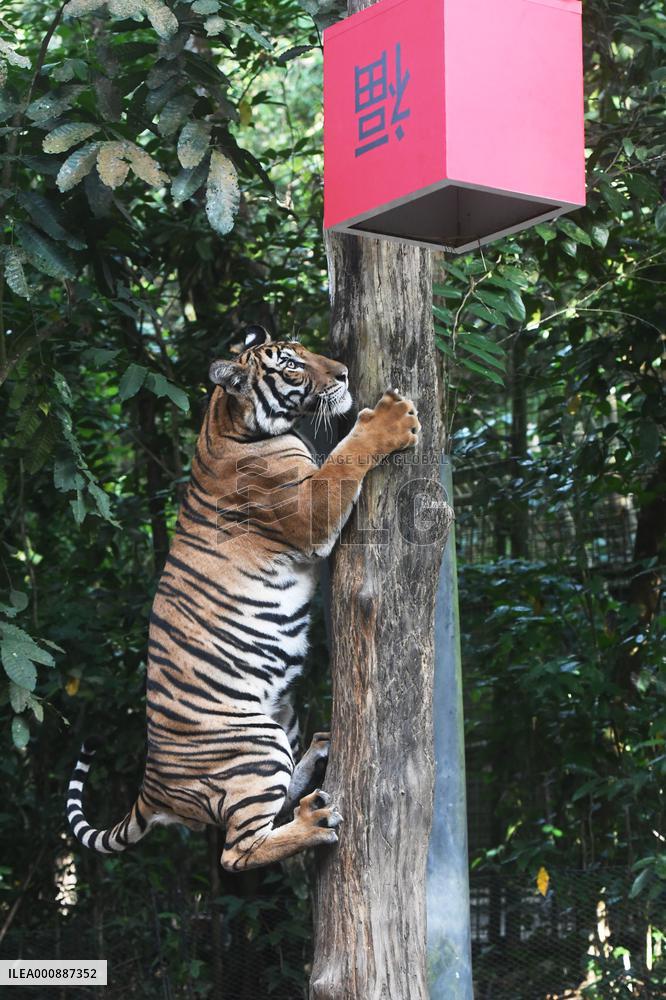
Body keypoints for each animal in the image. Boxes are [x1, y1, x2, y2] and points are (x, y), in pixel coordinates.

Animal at [67, 326, 421, 871]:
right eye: (292, 364)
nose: (343, 374)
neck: (224, 421)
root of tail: (152, 788)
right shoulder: (310, 509)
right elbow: (346, 457)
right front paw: (389, 419)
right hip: (254, 743)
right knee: (236, 852)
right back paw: (315, 820)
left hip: (281, 717)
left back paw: (320, 753)